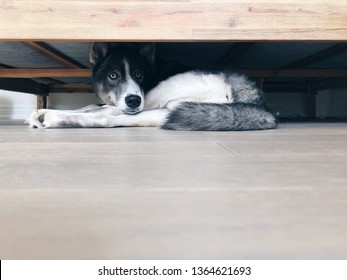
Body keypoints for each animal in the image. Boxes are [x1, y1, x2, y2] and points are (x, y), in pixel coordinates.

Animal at [25, 42, 278, 131]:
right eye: (113, 75)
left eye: (139, 74)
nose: (133, 100)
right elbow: (92, 105)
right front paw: (38, 112)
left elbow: (103, 110)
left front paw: (48, 114)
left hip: (163, 94)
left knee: (109, 117)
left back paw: (55, 118)